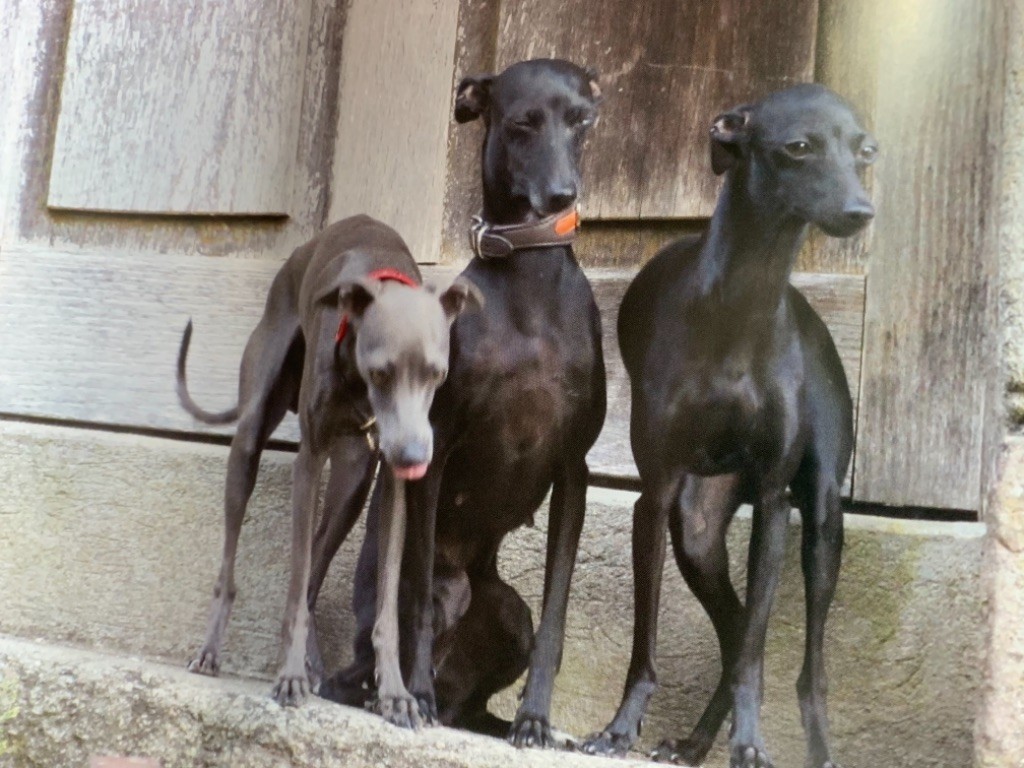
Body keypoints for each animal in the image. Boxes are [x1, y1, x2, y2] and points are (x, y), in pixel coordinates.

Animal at [177, 215, 479, 723]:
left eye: (436, 374)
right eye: (380, 372)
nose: (414, 458)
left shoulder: (390, 485)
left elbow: (385, 606)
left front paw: (396, 693)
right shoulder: (311, 460)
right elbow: (295, 582)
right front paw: (289, 676)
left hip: (352, 487)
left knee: (317, 568)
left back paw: (314, 665)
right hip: (251, 437)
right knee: (239, 562)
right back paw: (213, 651)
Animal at [319, 59, 606, 748]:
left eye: (582, 122)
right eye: (521, 123)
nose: (561, 197)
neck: (529, 282)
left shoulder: (574, 469)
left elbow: (556, 616)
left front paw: (536, 719)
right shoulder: (437, 449)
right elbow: (419, 605)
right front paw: (414, 697)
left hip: (507, 613)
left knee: (482, 685)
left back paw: (489, 718)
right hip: (440, 594)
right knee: (368, 664)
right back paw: (405, 695)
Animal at [581, 84, 878, 768]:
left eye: (866, 150)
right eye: (798, 146)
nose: (861, 212)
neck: (741, 307)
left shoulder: (772, 500)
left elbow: (756, 654)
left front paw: (750, 742)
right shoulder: (656, 492)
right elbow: (646, 643)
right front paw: (619, 729)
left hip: (821, 522)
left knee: (802, 666)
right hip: (696, 527)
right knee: (737, 625)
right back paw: (693, 744)